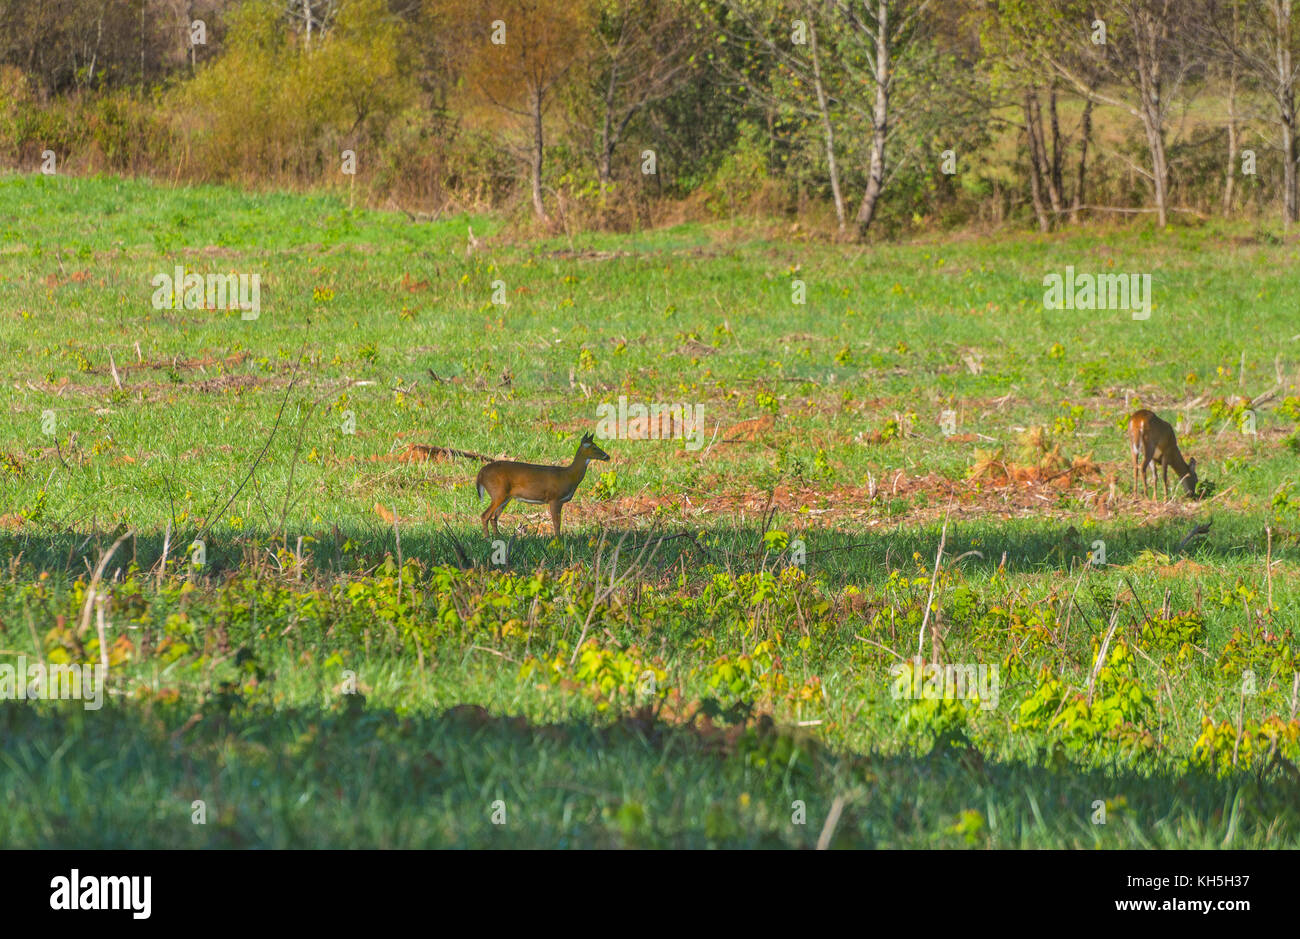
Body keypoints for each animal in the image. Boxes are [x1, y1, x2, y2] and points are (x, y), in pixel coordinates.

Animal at [473, 431, 608, 533]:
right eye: (595, 447)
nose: (607, 456)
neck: (568, 475)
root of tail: (480, 473)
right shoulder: (554, 498)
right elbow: (556, 524)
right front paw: (558, 542)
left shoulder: (559, 501)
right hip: (498, 492)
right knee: (485, 515)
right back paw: (487, 539)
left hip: (506, 496)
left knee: (493, 518)